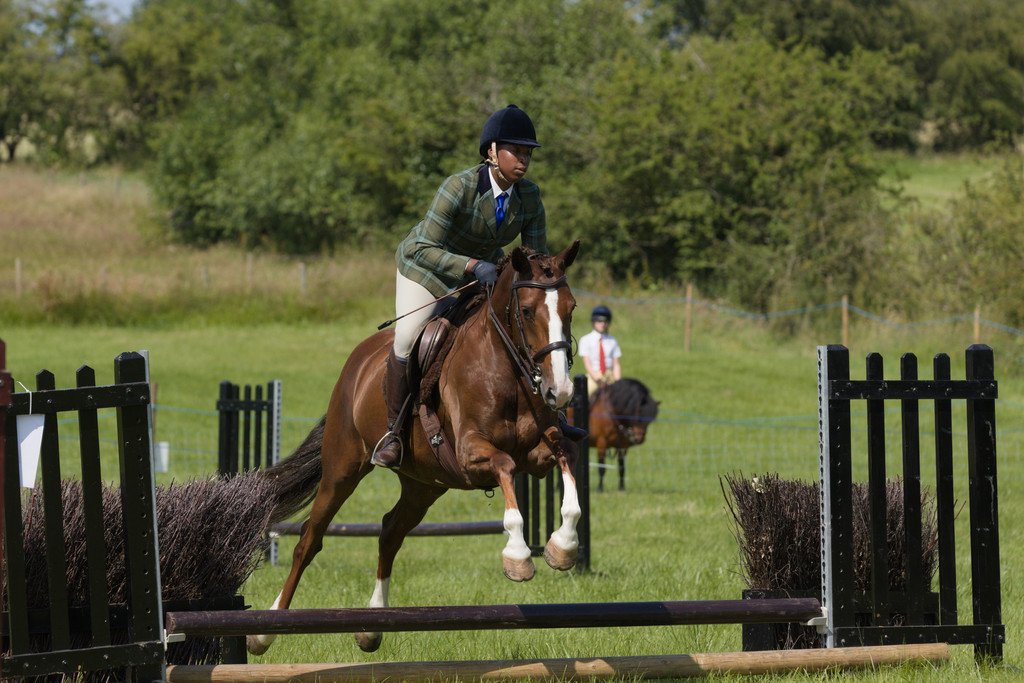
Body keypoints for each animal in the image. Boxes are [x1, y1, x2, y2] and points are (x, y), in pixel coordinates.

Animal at [247, 241, 583, 655]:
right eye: (526, 311)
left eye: (571, 308)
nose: (561, 391)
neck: (507, 370)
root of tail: (358, 361)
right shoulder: (471, 453)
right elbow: (505, 466)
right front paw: (518, 556)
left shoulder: (537, 455)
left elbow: (567, 457)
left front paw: (563, 547)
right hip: (343, 467)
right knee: (309, 539)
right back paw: (265, 631)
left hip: (424, 484)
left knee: (390, 531)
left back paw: (372, 626)